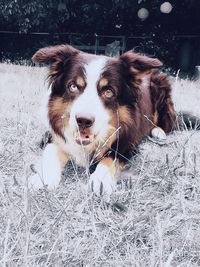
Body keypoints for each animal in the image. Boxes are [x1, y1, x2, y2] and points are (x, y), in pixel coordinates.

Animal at [29, 44, 177, 197]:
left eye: (108, 91)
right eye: (73, 86)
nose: (83, 120)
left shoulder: (128, 142)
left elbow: (110, 158)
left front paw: (100, 181)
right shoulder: (52, 135)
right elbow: (51, 150)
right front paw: (43, 178)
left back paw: (158, 131)